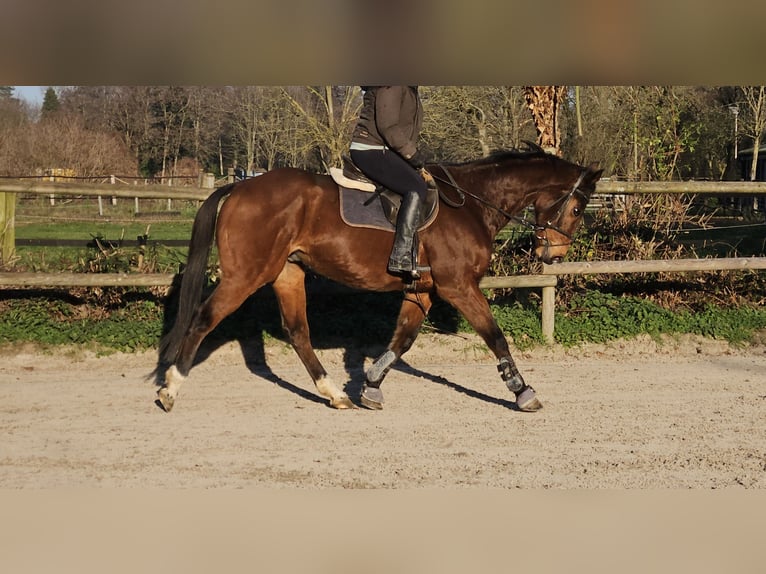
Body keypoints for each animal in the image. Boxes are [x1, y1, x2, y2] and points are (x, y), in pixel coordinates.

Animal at [155, 147, 603, 413]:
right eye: (578, 208)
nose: (553, 255)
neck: (472, 204)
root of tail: (239, 187)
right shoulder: (458, 286)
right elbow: (495, 336)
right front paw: (522, 391)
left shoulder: (422, 290)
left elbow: (401, 341)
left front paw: (369, 385)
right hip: (248, 274)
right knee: (202, 320)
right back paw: (170, 390)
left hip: (288, 272)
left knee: (298, 332)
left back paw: (334, 394)